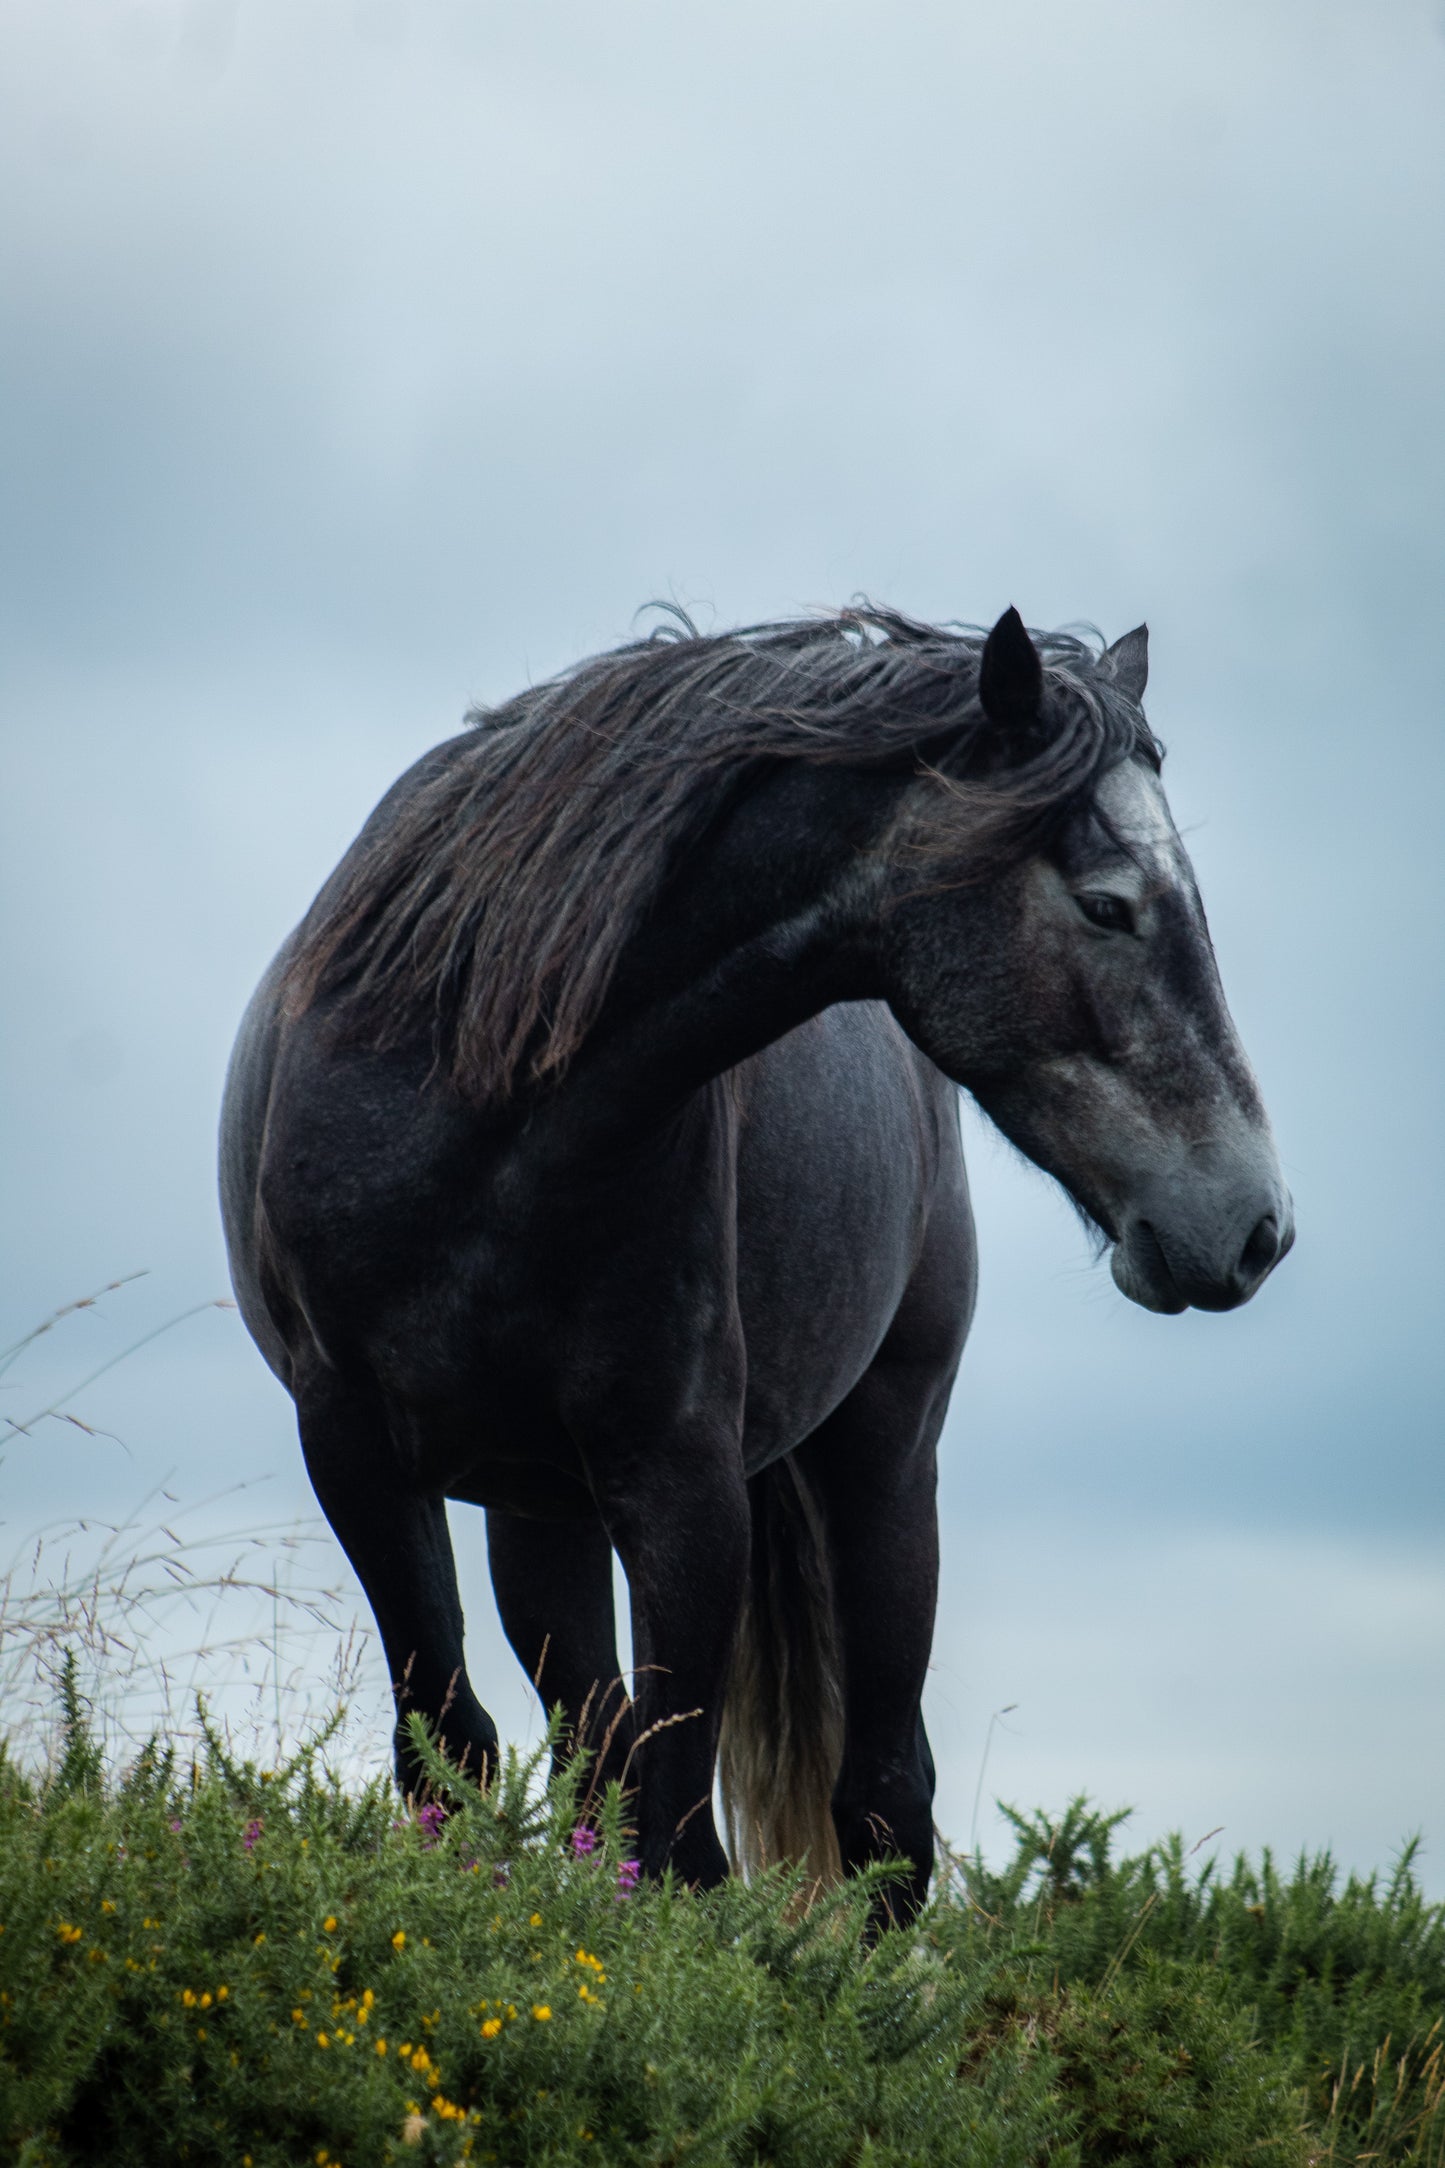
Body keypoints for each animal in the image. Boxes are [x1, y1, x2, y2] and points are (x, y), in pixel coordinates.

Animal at [220, 602, 1291, 1907]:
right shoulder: (357, 1454)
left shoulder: (682, 1483)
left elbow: (681, 1837)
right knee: (596, 1750)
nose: (1254, 1225)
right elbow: (457, 1755)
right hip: (538, 1504)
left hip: (884, 1458)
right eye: (1105, 905)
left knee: (882, 1798)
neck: (474, 1093)